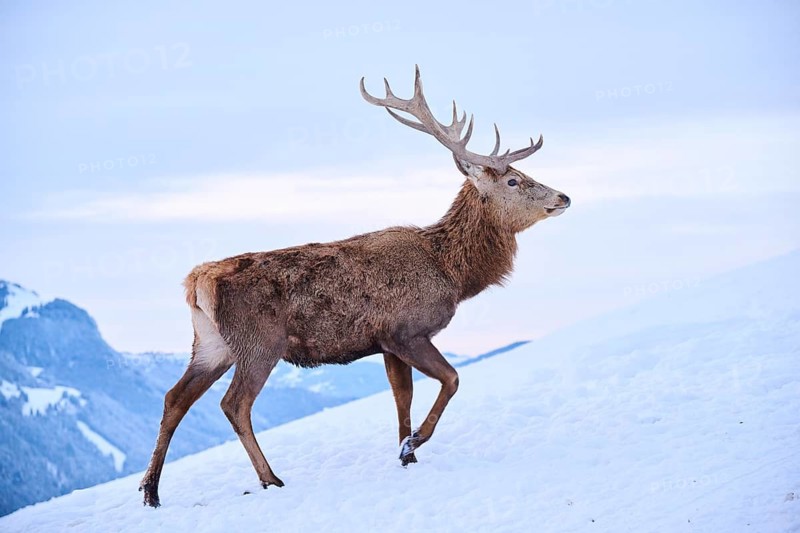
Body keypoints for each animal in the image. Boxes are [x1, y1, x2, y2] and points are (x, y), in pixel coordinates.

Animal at [140, 65, 570, 507]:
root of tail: (196, 281)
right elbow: (451, 379)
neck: (454, 273)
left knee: (175, 397)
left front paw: (405, 454)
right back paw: (270, 478)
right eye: (514, 181)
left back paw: (151, 491)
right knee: (234, 403)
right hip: (258, 342)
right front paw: (415, 442)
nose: (564, 196)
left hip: (211, 344)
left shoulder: (386, 342)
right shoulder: (405, 330)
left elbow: (402, 397)